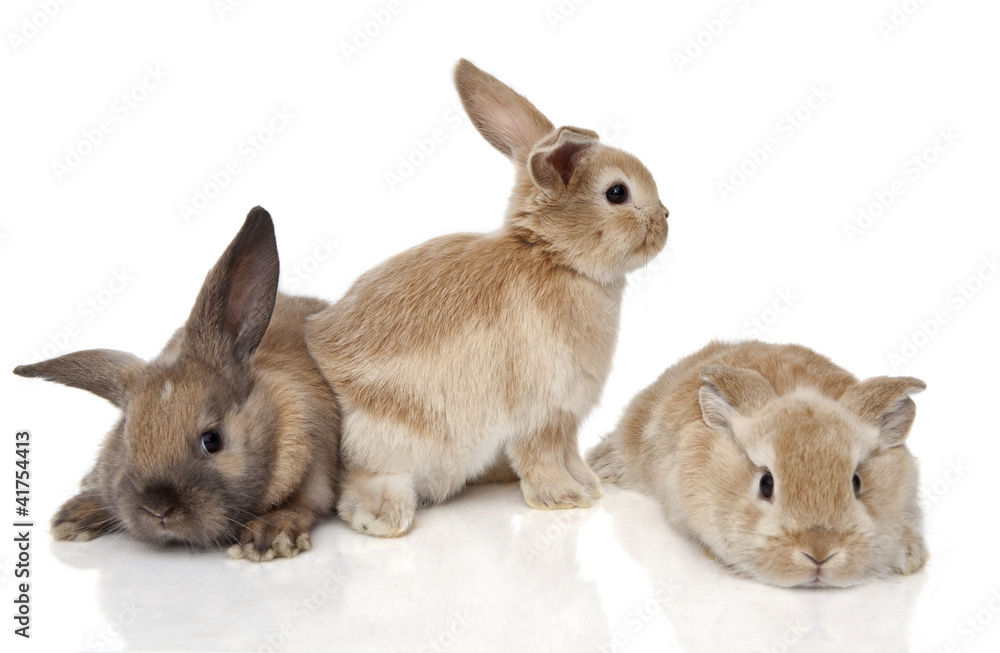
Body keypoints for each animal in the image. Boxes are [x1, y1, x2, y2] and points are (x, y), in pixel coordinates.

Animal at [13, 207, 340, 562]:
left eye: (212, 440)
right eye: (126, 441)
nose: (159, 510)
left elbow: (303, 504)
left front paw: (270, 534)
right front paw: (77, 513)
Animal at [305, 58, 669, 537]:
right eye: (617, 193)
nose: (667, 219)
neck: (555, 259)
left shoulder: (566, 418)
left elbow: (570, 454)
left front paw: (588, 487)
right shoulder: (542, 414)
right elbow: (542, 457)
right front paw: (565, 499)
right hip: (393, 434)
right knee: (361, 480)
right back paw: (383, 518)